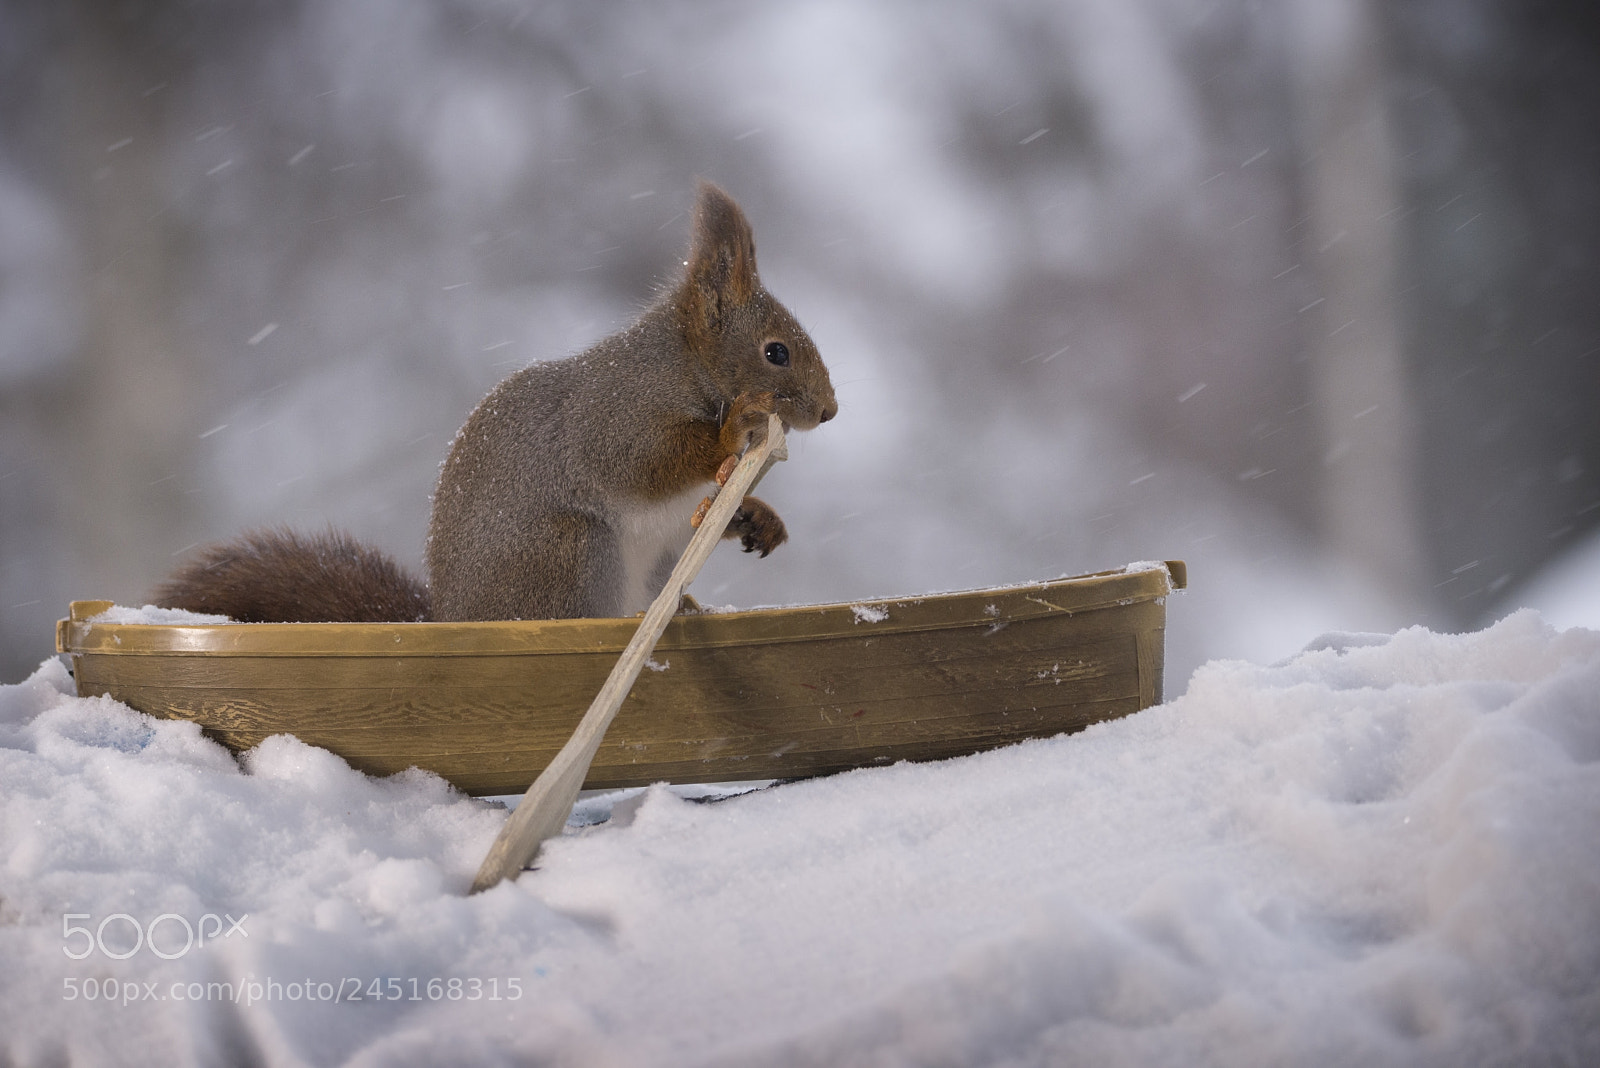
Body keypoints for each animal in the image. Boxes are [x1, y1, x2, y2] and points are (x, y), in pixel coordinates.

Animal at [153, 182, 837, 623]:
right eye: (776, 352)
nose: (829, 411)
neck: (690, 368)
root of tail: (449, 621)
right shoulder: (616, 412)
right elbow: (636, 461)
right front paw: (737, 426)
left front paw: (756, 516)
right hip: (571, 553)